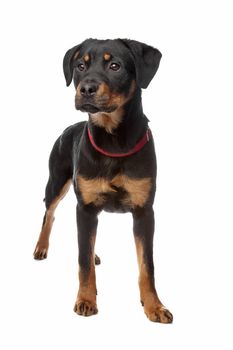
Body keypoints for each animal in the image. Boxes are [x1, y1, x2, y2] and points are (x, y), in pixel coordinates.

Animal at [34, 38, 173, 322]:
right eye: (80, 65)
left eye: (115, 65)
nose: (86, 89)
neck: (114, 141)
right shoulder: (85, 208)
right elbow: (83, 261)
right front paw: (86, 300)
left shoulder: (144, 211)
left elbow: (147, 265)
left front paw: (154, 306)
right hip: (57, 180)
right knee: (49, 214)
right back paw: (41, 247)